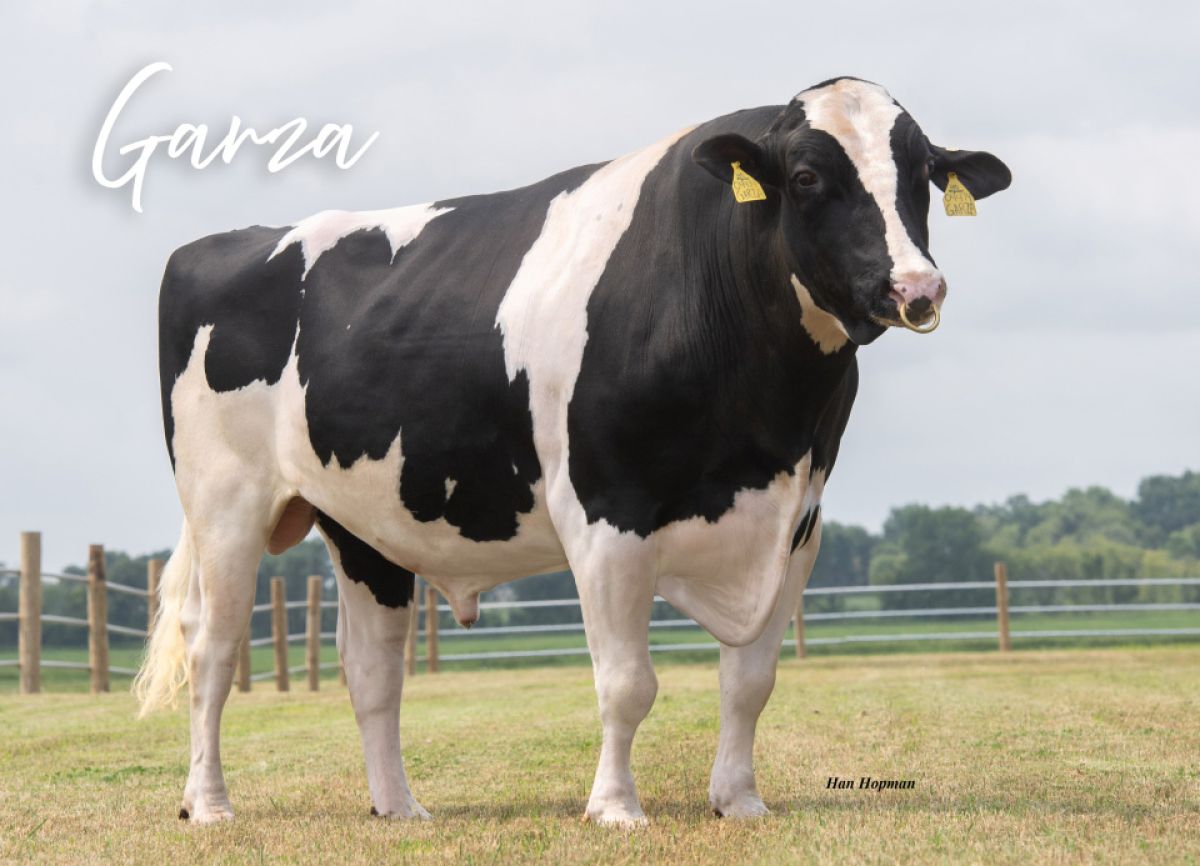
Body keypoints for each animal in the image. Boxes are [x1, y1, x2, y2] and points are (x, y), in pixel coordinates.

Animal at [134, 76, 1011, 827]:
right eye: (804, 177)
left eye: (924, 175)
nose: (916, 288)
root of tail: (213, 244)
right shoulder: (605, 513)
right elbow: (627, 683)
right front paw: (616, 808)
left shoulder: (795, 525)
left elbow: (750, 681)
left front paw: (740, 801)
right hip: (227, 502)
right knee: (212, 651)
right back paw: (208, 804)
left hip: (361, 523)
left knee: (371, 670)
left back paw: (399, 807)